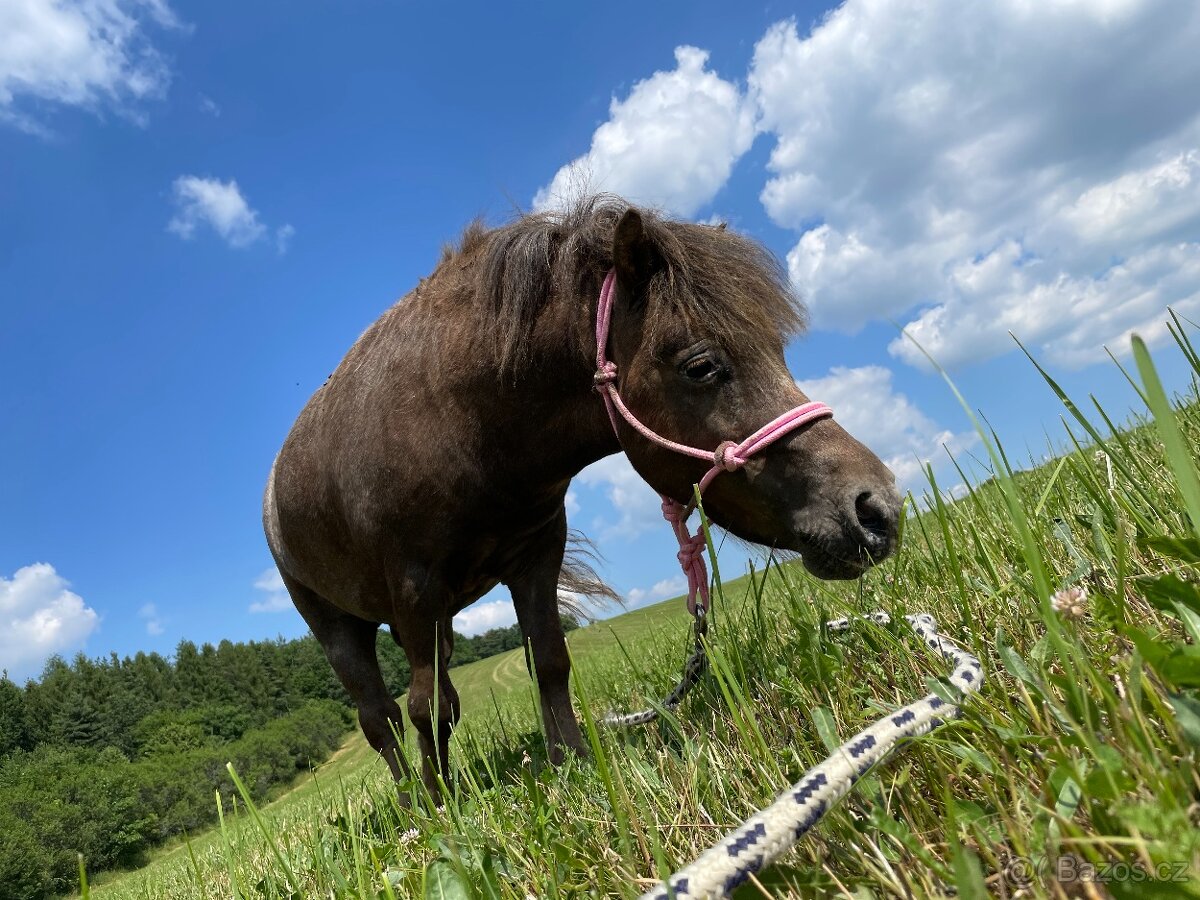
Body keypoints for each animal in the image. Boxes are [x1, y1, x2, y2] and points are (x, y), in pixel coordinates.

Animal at [265, 196, 902, 796]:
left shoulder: (533, 557)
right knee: (382, 717)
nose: (877, 509)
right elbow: (424, 708)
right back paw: (412, 800)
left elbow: (547, 660)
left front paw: (570, 761)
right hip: (341, 626)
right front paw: (443, 804)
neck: (462, 418)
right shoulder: (415, 588)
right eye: (700, 365)